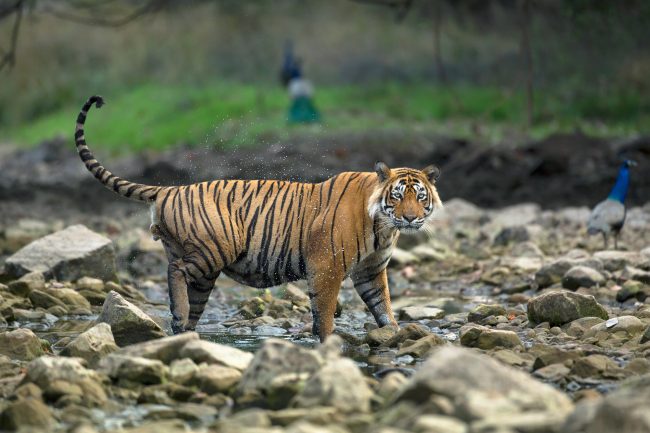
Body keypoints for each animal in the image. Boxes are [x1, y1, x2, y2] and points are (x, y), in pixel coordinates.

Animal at [74, 95, 443, 341]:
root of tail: (169, 189)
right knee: (175, 271)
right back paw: (178, 318)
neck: (384, 227)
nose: (410, 219)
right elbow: (324, 310)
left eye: (420, 196)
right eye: (398, 196)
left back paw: (185, 329)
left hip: (202, 269)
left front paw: (394, 331)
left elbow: (383, 306)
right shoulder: (327, 266)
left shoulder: (371, 270)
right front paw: (328, 342)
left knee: (187, 290)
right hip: (214, 249)